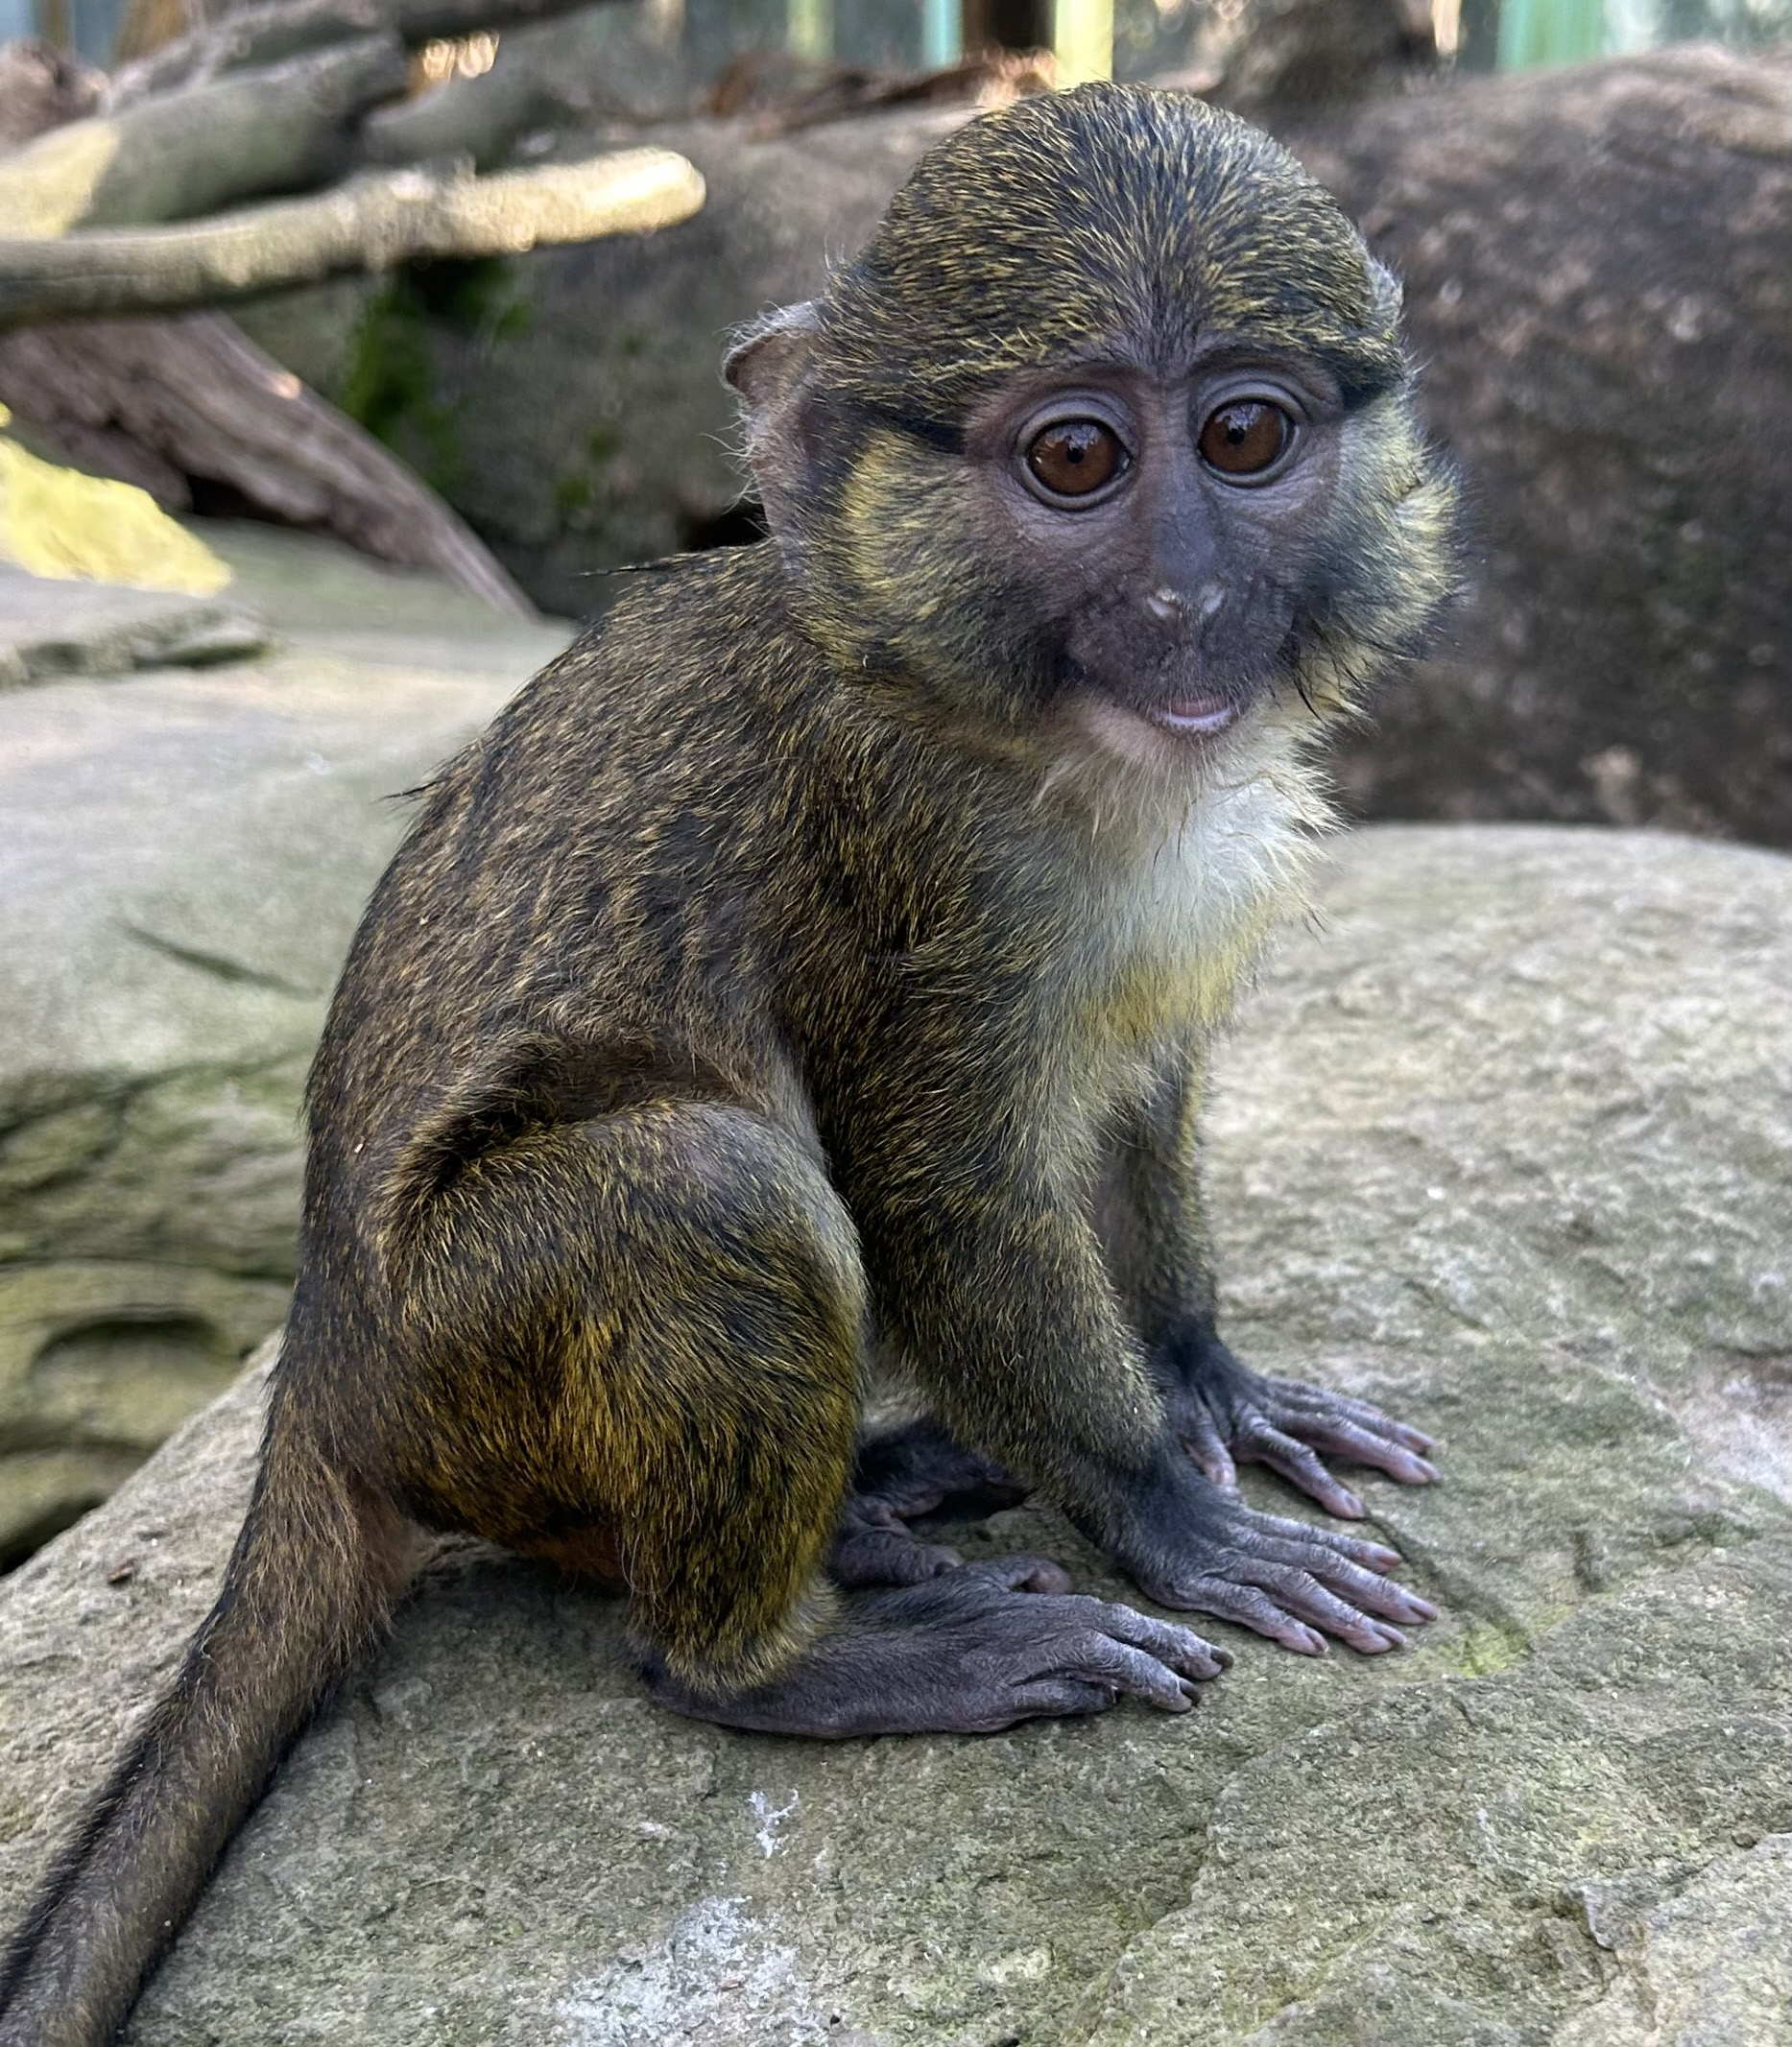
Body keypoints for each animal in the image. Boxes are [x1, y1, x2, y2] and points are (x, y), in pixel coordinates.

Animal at [0, 83, 1458, 2047]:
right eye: (1075, 458)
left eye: (1243, 434)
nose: (1186, 598)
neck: (1012, 724)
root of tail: (317, 1383)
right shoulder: (896, 847)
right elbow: (933, 1191)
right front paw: (1161, 1502)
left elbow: (1136, 1111)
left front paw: (1206, 1380)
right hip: (470, 1367)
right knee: (706, 1193)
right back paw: (777, 1657)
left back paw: (870, 1512)